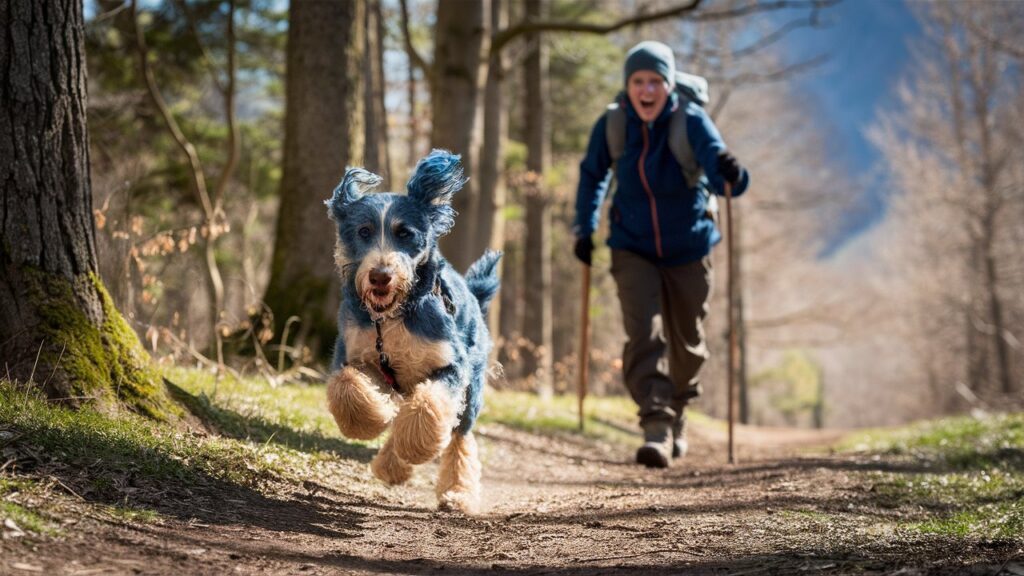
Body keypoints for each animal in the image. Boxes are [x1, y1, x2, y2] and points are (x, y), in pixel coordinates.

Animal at [323, 147, 499, 510]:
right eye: (363, 231)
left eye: (405, 233)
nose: (380, 276)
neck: (391, 318)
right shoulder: (353, 353)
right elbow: (346, 384)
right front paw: (371, 420)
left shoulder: (451, 365)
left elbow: (428, 405)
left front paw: (416, 446)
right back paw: (391, 465)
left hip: (472, 388)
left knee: (461, 438)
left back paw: (457, 493)